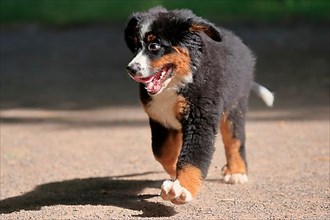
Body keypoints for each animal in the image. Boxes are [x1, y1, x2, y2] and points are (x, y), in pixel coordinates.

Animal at [124, 6, 274, 205]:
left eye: (154, 46)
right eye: (135, 47)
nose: (131, 69)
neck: (177, 83)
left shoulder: (201, 118)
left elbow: (193, 156)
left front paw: (182, 188)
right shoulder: (160, 119)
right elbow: (162, 152)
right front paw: (174, 172)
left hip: (235, 107)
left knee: (235, 141)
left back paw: (236, 172)